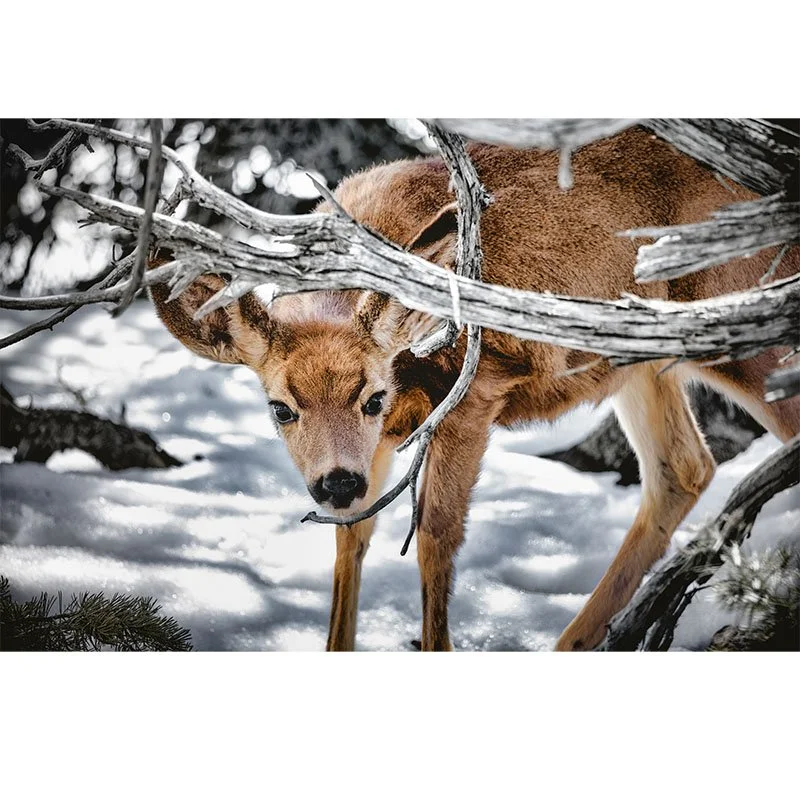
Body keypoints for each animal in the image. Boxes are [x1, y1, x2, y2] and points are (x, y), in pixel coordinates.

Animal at [148, 126, 800, 652]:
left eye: (373, 397)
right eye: (281, 409)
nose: (336, 482)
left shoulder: (474, 393)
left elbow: (436, 536)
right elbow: (351, 538)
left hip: (739, 322)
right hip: (638, 359)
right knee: (682, 468)